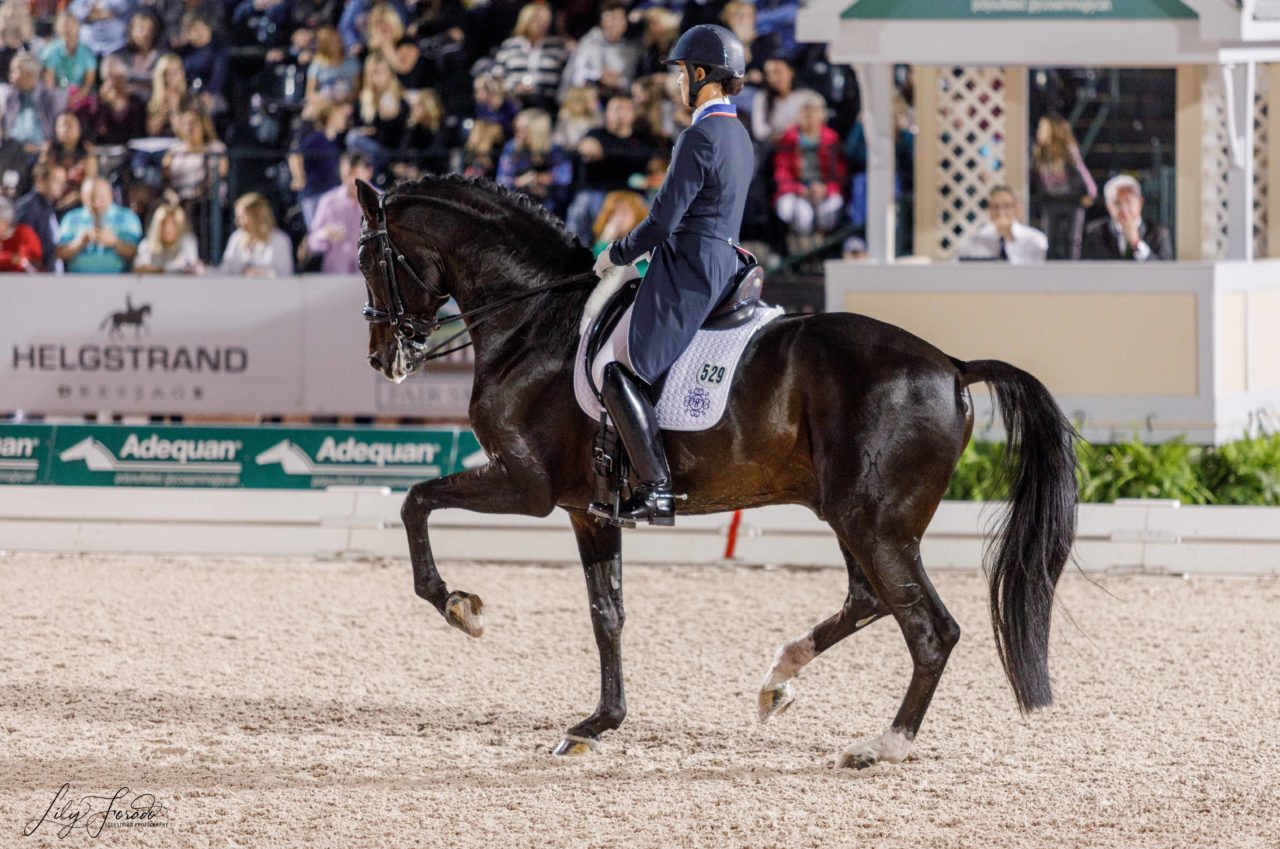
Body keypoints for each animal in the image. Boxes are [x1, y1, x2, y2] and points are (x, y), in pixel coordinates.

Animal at [353, 174, 1080, 768]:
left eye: (365, 259)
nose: (384, 358)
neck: (535, 320)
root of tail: (953, 366)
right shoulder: (589, 509)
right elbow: (607, 613)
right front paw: (597, 724)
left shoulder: (526, 483)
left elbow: (415, 500)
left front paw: (459, 606)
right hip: (850, 514)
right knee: (868, 600)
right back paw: (778, 678)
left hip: (875, 524)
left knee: (930, 629)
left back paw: (882, 744)